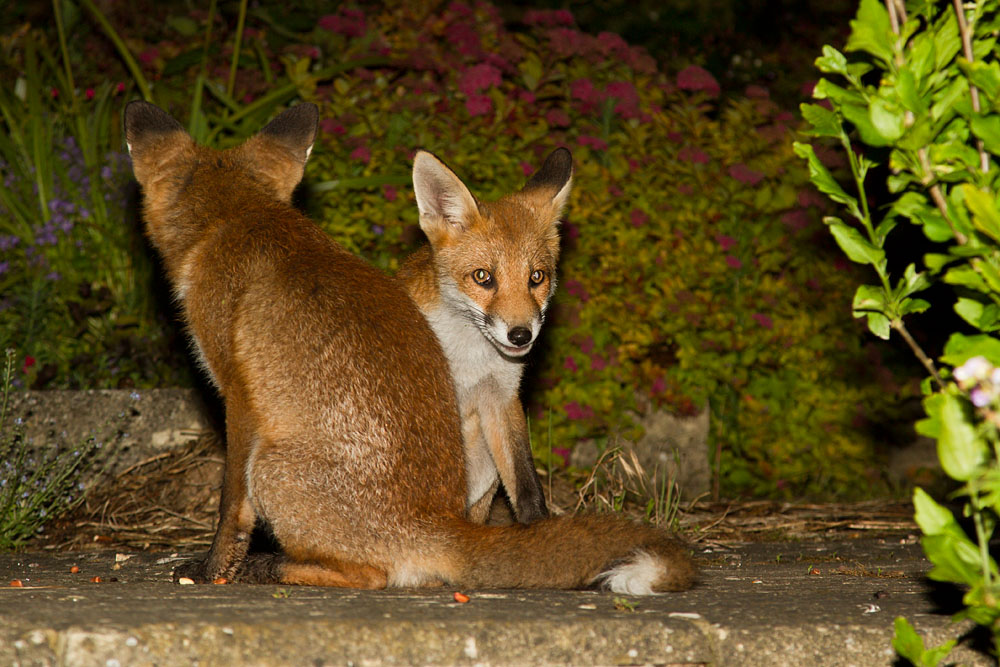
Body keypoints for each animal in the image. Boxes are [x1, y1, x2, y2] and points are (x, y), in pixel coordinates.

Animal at [397, 149, 571, 525]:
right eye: (482, 277)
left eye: (537, 277)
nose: (521, 335)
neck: (469, 361)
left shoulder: (502, 398)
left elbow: (526, 485)